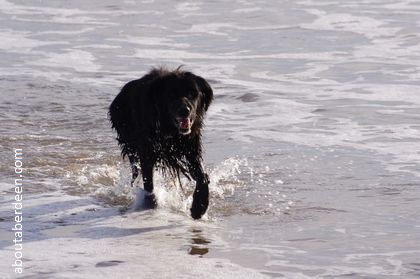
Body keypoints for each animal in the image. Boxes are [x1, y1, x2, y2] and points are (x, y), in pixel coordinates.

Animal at [108, 66, 213, 220]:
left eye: (193, 93)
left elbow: (202, 176)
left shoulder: (191, 146)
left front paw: (199, 206)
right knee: (135, 171)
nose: (184, 110)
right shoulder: (147, 149)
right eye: (171, 95)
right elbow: (148, 182)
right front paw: (150, 204)